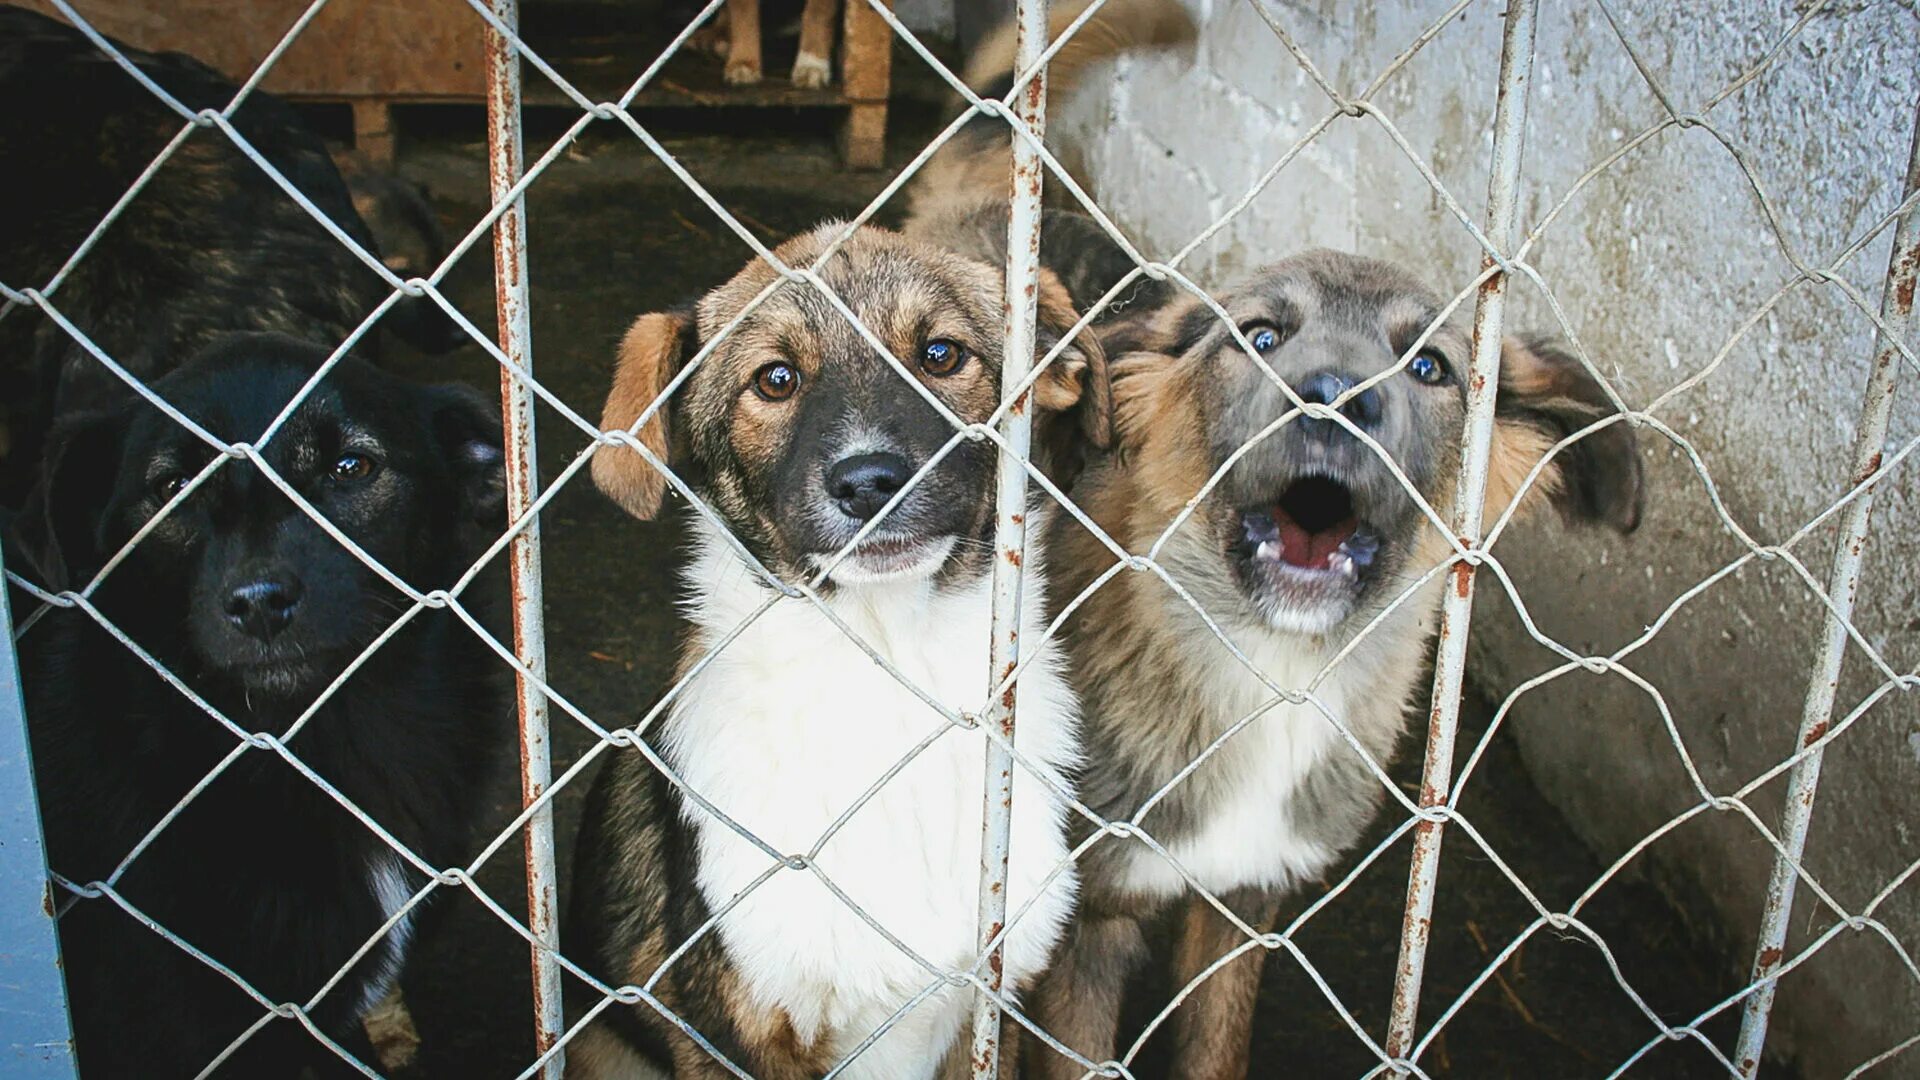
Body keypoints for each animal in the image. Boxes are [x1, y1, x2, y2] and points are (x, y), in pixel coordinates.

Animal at [568, 214, 1113, 1068]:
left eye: (941, 354)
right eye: (775, 379)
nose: (870, 483)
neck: (893, 676)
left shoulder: (990, 1007)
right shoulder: (740, 1032)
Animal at [1029, 253, 1643, 1076]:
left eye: (1429, 366)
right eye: (1260, 336)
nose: (1336, 402)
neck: (1277, 677)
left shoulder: (1248, 902)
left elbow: (1217, 1050)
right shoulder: (1085, 921)